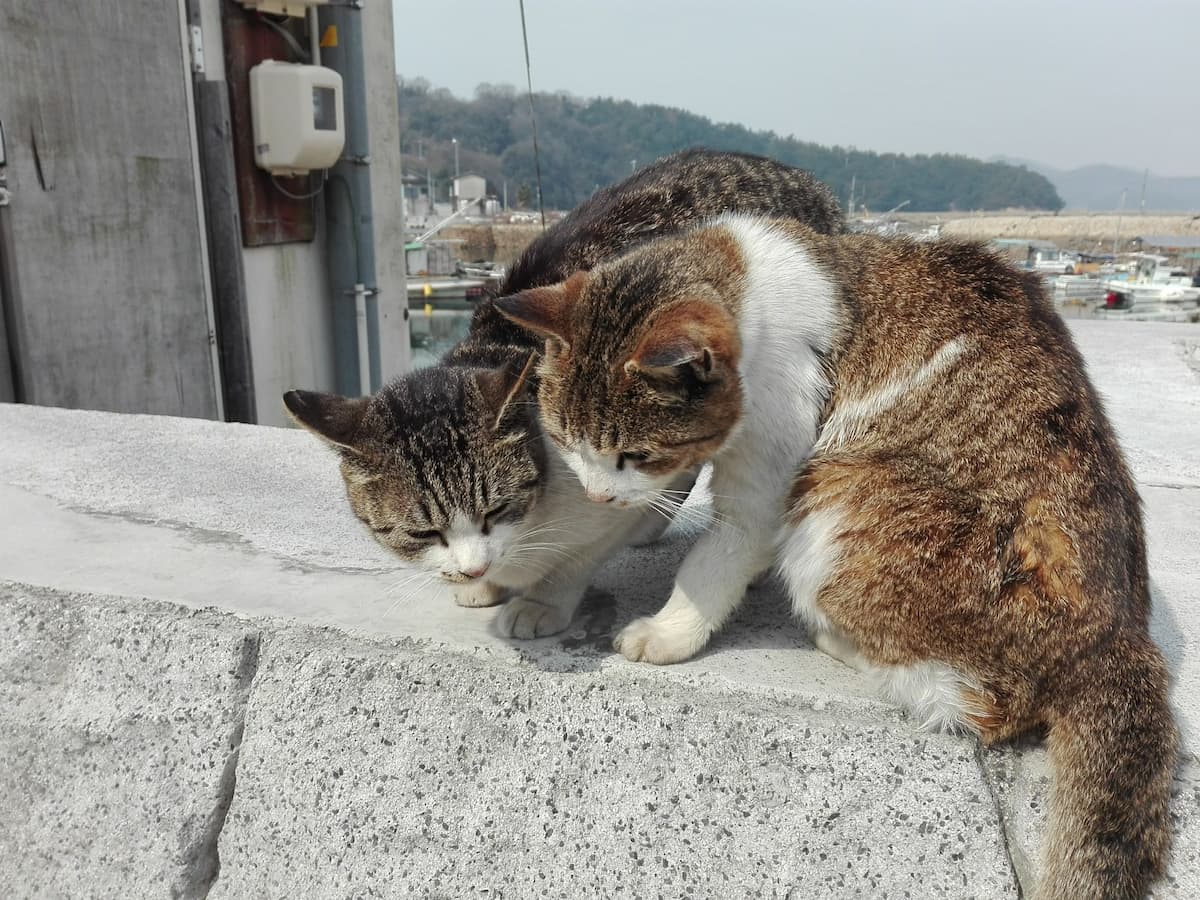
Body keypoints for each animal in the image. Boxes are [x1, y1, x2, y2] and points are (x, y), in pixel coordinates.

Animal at [286, 150, 844, 643]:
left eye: (495, 510)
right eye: (422, 534)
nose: (472, 570)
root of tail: (805, 179)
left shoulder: (608, 502)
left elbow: (577, 559)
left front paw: (540, 602)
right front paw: (487, 586)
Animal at [496, 214, 1180, 897]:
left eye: (635, 453)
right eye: (565, 440)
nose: (597, 489)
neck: (749, 285)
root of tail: (1124, 639)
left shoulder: (768, 473)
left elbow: (711, 564)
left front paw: (668, 631)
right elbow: (603, 534)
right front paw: (548, 597)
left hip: (839, 496)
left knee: (977, 706)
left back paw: (840, 641)